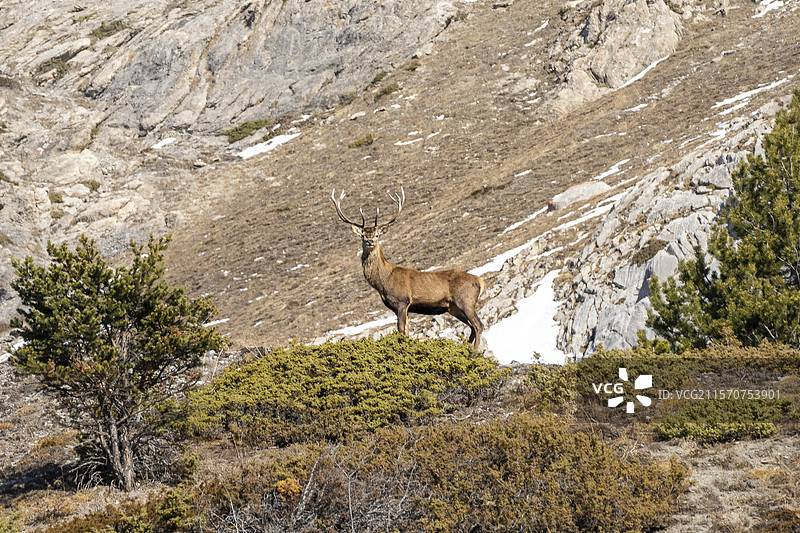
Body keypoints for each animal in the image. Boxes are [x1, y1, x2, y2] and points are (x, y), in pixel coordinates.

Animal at [331, 187, 487, 350]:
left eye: (377, 234)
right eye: (362, 235)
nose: (369, 241)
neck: (383, 282)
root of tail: (481, 282)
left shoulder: (402, 301)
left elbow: (401, 330)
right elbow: (406, 330)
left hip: (466, 300)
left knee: (478, 325)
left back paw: (474, 352)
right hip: (454, 307)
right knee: (471, 327)